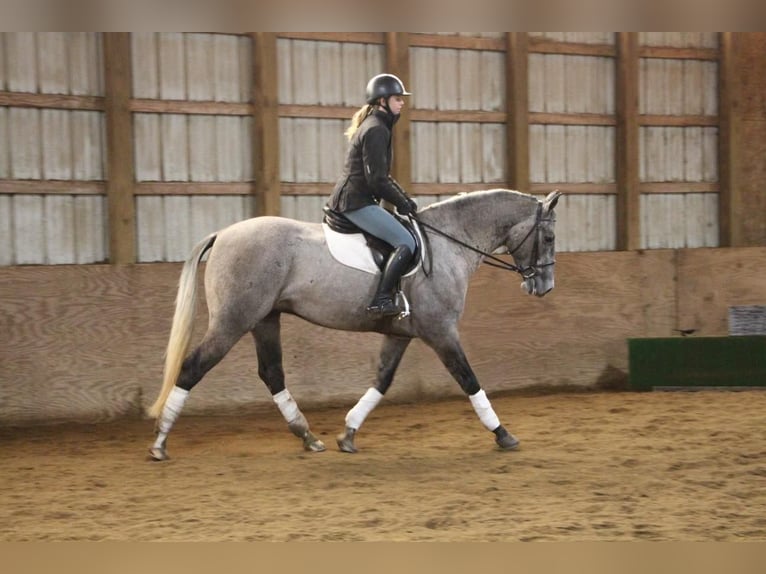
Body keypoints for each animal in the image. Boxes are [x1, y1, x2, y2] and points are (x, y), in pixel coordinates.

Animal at [147, 190, 560, 464]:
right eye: (550, 237)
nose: (543, 286)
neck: (448, 246)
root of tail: (222, 234)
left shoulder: (399, 334)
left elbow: (382, 380)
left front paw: (348, 433)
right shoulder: (441, 332)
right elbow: (469, 379)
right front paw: (503, 434)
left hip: (264, 319)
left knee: (272, 373)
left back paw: (308, 437)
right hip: (234, 320)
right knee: (193, 367)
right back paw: (160, 443)